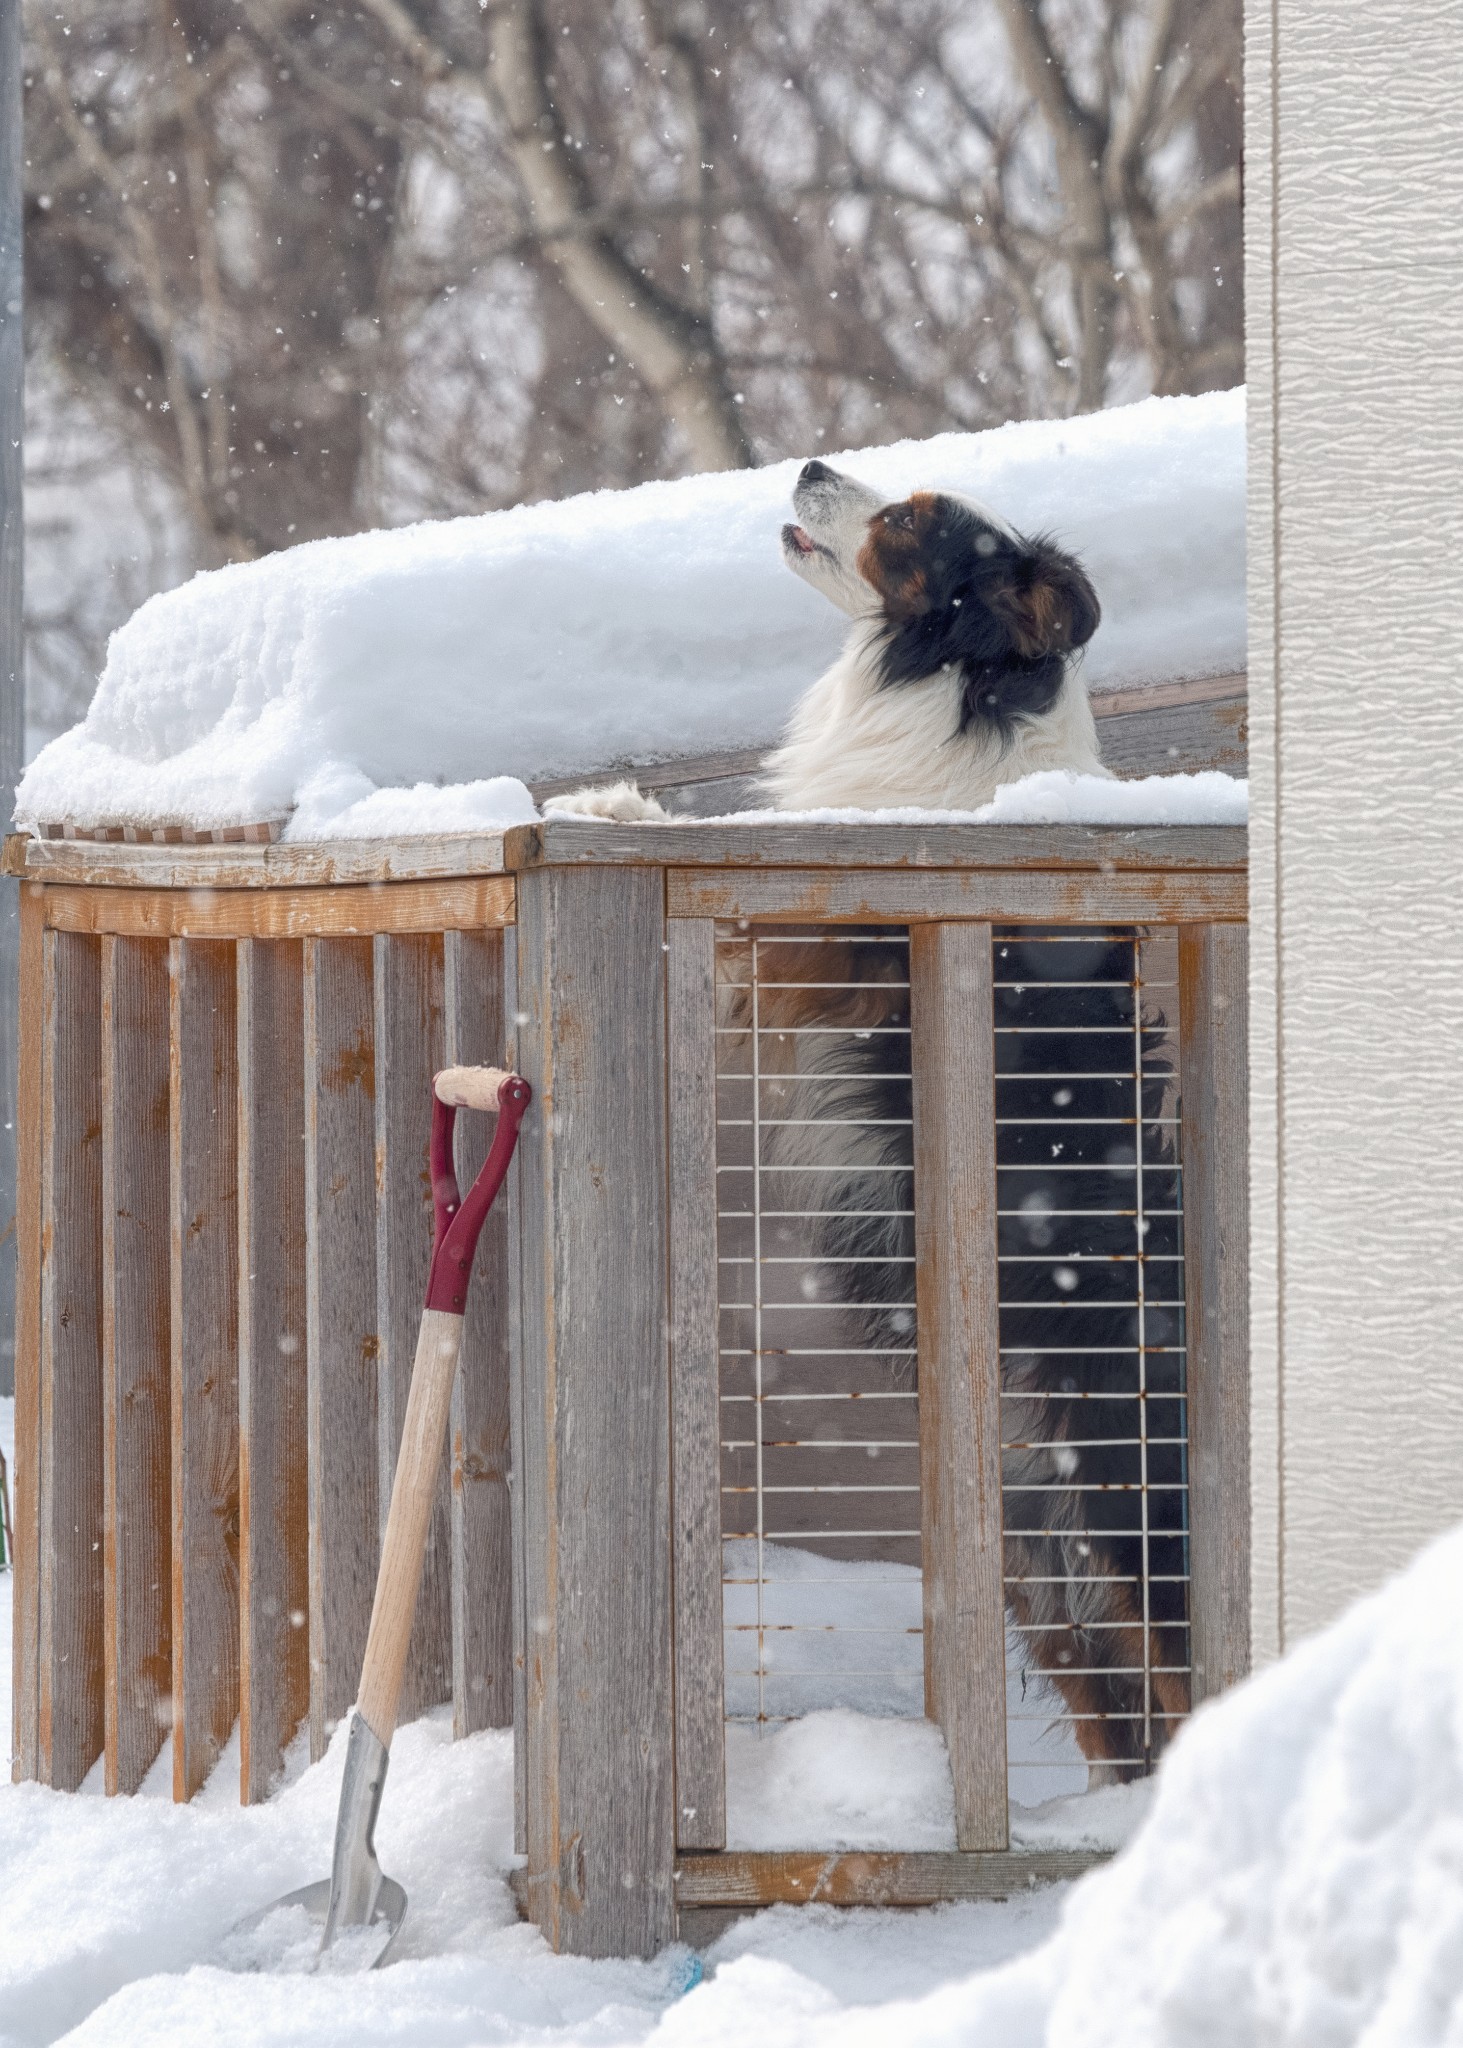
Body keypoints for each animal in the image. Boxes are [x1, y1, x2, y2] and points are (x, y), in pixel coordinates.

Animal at [549, 460, 1188, 1777]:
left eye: (906, 521)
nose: (807, 466)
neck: (953, 689)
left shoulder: (847, 927)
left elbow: (747, 871)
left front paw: (611, 801)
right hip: (1038, 1555)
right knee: (1120, 1704)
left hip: (1125, 1505)